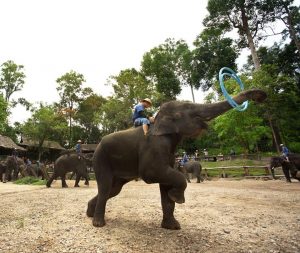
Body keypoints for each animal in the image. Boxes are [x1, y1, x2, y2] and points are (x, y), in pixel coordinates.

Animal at [87, 88, 268, 229]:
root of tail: (96, 146)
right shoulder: (154, 147)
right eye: (188, 110)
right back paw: (98, 223)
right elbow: (152, 173)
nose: (261, 96)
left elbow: (165, 183)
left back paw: (88, 213)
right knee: (105, 187)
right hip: (100, 159)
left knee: (114, 189)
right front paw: (178, 198)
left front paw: (173, 226)